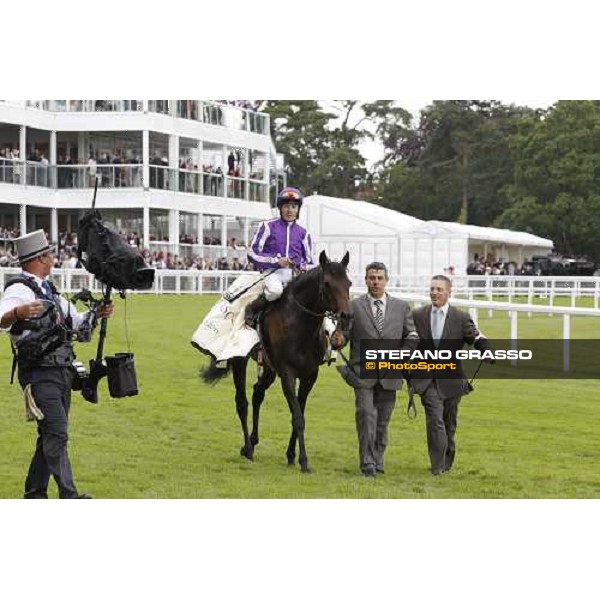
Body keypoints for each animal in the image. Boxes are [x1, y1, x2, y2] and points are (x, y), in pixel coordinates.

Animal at [202, 251, 352, 472]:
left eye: (349, 283)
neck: (300, 326)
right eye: (327, 283)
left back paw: (253, 441)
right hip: (240, 361)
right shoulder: (287, 374)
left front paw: (291, 455)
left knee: (257, 393)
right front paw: (304, 461)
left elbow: (299, 412)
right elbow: (298, 418)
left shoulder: (309, 375)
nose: (346, 316)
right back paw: (248, 448)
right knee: (242, 403)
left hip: (269, 368)